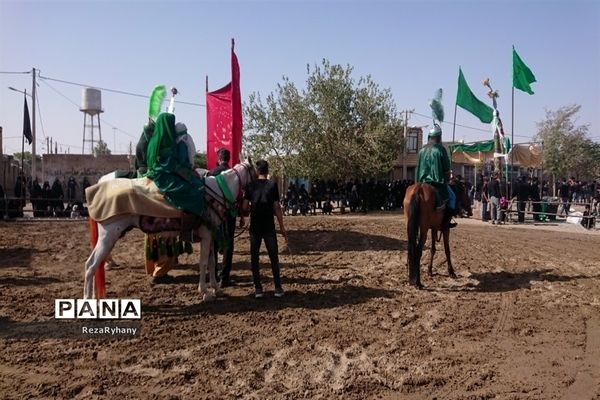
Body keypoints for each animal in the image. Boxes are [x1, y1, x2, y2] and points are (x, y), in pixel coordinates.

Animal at [82, 159, 255, 300]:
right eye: (256, 174)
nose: (247, 209)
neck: (218, 191)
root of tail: (97, 189)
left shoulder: (211, 236)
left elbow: (212, 264)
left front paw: (216, 289)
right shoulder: (206, 236)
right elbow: (204, 263)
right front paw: (205, 292)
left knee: (93, 265)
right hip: (108, 236)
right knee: (90, 266)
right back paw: (88, 299)